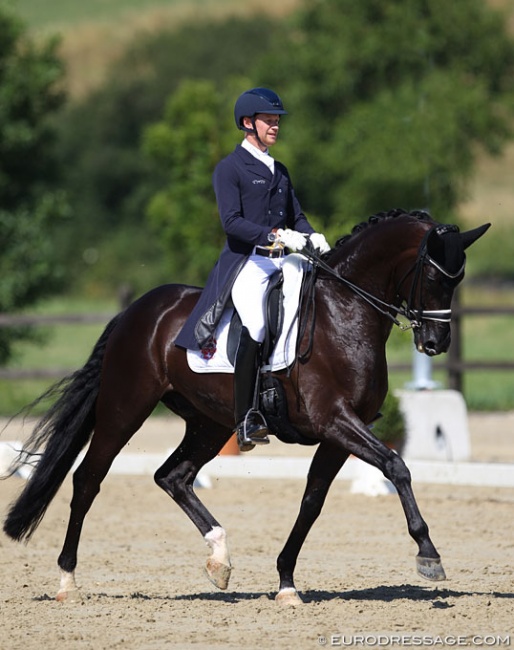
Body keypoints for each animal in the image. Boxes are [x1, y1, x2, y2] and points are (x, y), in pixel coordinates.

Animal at [2, 210, 486, 604]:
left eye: (458, 280)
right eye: (435, 278)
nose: (435, 344)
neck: (344, 311)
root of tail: (136, 311)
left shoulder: (339, 433)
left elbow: (313, 501)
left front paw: (287, 582)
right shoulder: (335, 420)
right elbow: (396, 466)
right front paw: (428, 554)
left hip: (210, 423)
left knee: (173, 476)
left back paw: (219, 559)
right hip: (125, 409)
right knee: (88, 480)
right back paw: (68, 581)